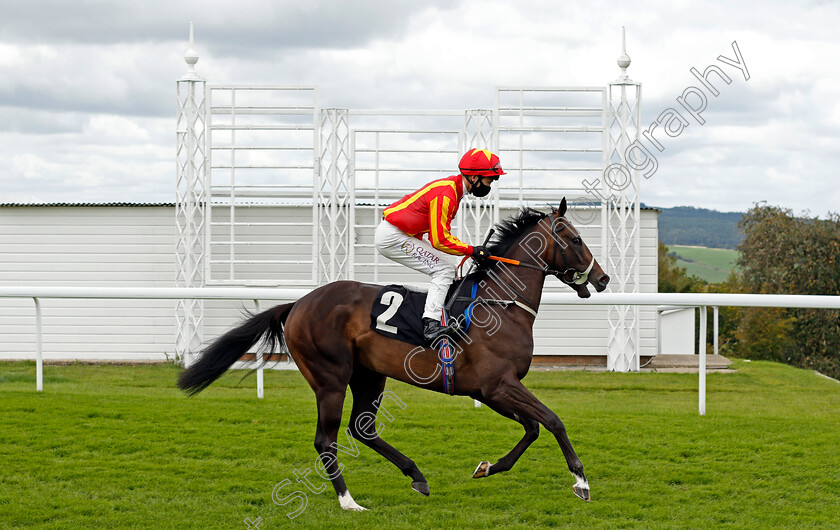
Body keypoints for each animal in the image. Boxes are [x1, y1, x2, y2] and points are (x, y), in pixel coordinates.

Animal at [179, 196, 612, 510]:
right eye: (575, 239)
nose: (603, 278)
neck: (500, 305)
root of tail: (298, 303)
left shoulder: (489, 390)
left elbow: (533, 427)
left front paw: (487, 468)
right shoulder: (498, 385)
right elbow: (553, 421)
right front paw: (581, 481)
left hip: (369, 375)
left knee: (362, 429)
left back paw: (415, 474)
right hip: (331, 378)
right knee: (326, 440)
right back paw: (349, 502)